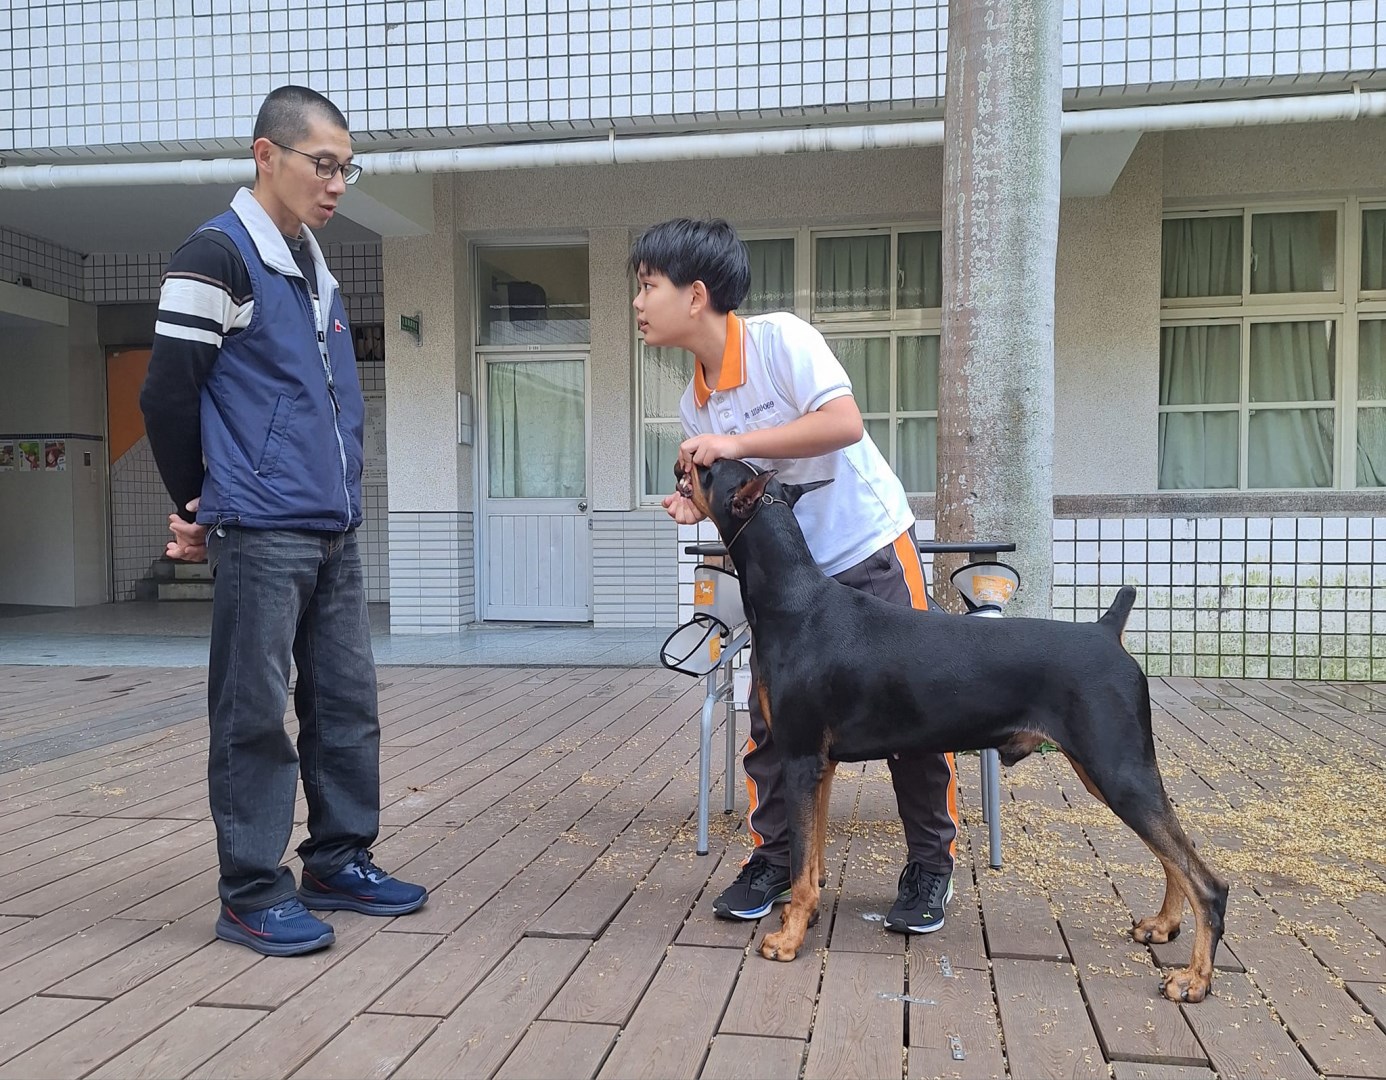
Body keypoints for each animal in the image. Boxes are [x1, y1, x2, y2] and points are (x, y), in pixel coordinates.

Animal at [677, 458, 1229, 1003]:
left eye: (709, 470)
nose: (683, 464)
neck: (792, 601)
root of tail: (1107, 630)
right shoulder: (820, 766)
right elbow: (809, 858)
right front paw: (803, 916)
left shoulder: (798, 758)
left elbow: (800, 862)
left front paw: (788, 938)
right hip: (1111, 771)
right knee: (1176, 852)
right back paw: (1162, 925)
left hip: (1116, 768)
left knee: (1206, 881)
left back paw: (1193, 979)